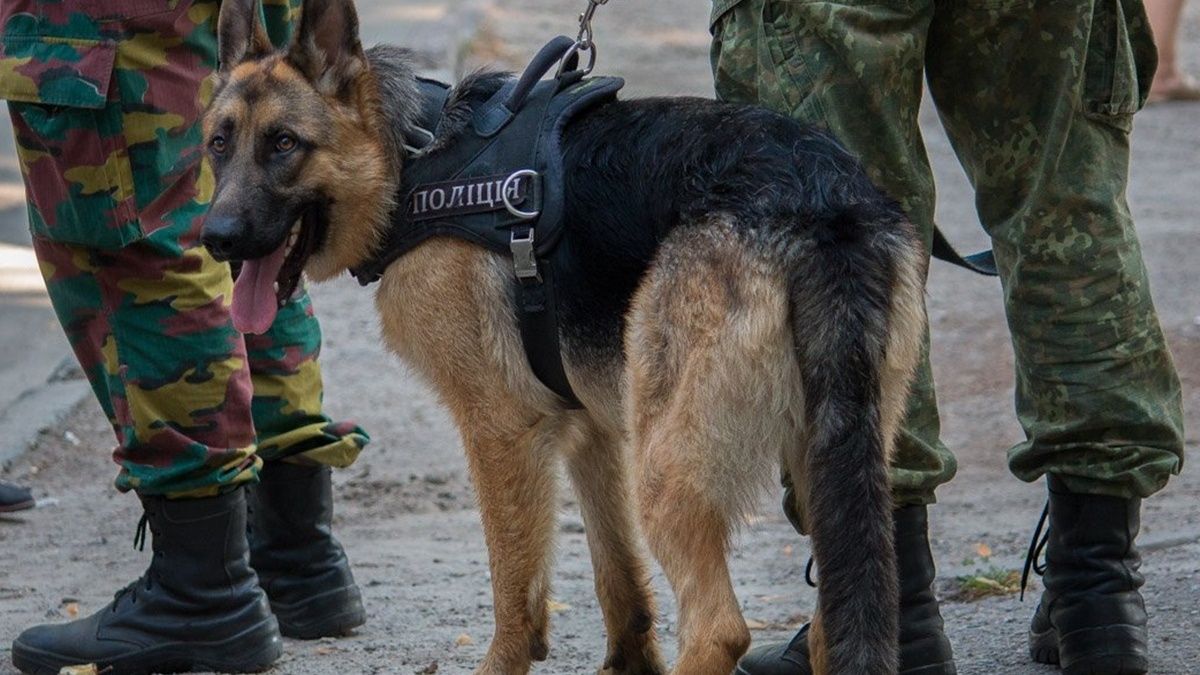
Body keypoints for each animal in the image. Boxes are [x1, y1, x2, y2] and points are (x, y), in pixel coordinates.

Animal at [201, 0, 921, 667]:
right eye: (217, 144)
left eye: (285, 144)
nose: (216, 239)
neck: (413, 156)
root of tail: (821, 201)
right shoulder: (594, 429)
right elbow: (620, 583)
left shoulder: (501, 430)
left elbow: (515, 593)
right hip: (828, 465)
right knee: (831, 619)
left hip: (667, 466)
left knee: (719, 629)